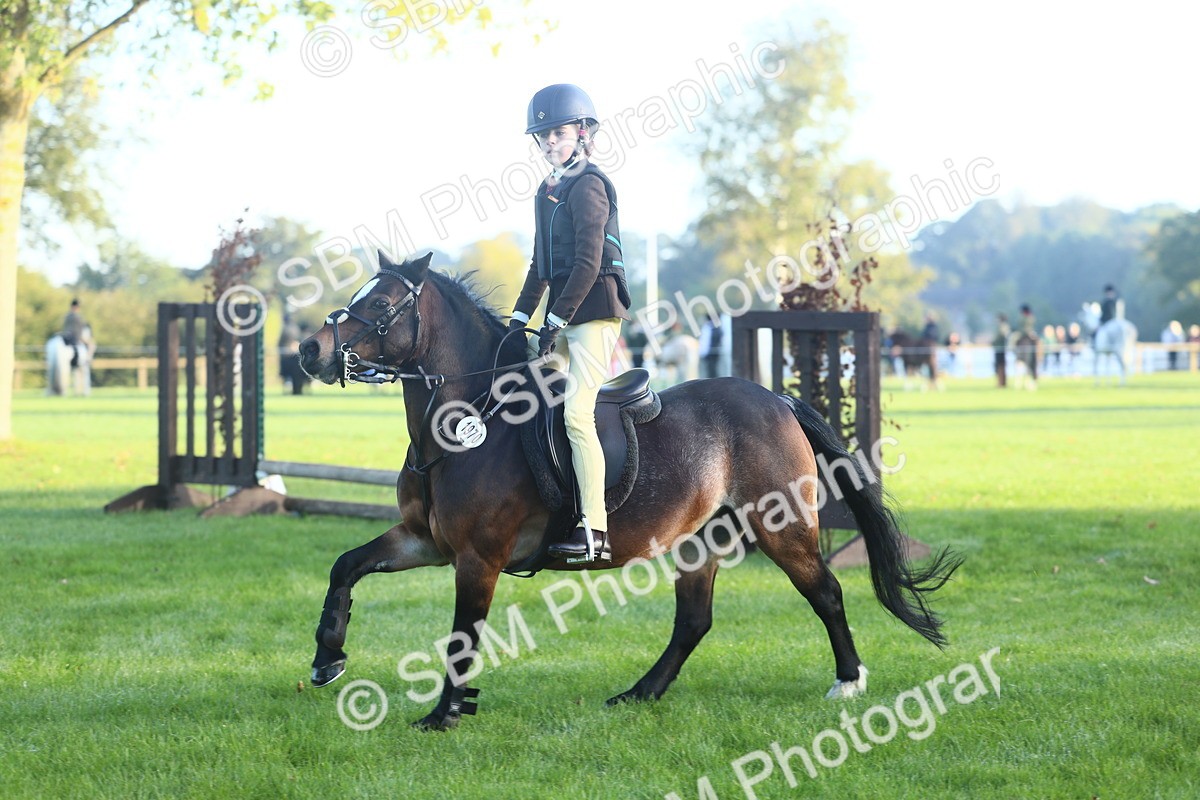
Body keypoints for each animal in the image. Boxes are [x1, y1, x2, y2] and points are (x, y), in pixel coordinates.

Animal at [298, 252, 962, 730]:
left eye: (381, 303)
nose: (309, 349)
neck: (469, 424)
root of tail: (777, 399)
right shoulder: (425, 541)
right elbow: (344, 565)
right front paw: (328, 658)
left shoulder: (477, 557)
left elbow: (463, 636)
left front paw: (444, 715)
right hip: (700, 539)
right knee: (693, 620)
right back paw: (639, 693)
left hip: (781, 526)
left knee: (825, 592)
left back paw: (848, 681)